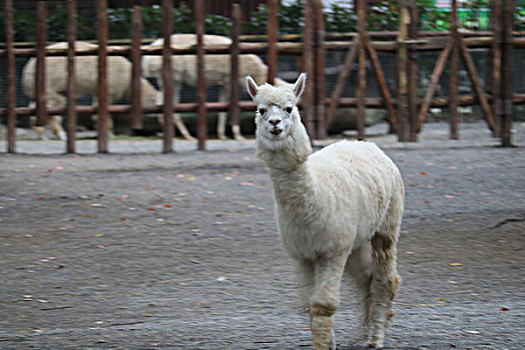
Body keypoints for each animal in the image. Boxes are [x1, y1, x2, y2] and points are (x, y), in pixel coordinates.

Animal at [22, 41, 161, 139]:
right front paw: (110, 133)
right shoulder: (113, 82)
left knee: (39, 104)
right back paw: (60, 134)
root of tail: (28, 68)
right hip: (51, 78)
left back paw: (41, 132)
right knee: (55, 102)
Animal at [141, 33, 284, 141]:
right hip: (174, 79)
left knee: (163, 104)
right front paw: (237, 136)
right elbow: (231, 107)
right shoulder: (230, 82)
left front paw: (222, 135)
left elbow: (222, 108)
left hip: (170, 81)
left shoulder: (224, 83)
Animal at [247, 72, 406, 348]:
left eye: (289, 108)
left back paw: (375, 338)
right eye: (261, 109)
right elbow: (308, 306)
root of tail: (365, 144)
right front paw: (329, 341)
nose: (275, 124)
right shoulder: (304, 254)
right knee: (366, 277)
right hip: (354, 239)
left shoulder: (332, 250)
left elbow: (323, 304)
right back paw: (363, 331)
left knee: (386, 280)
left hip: (387, 222)